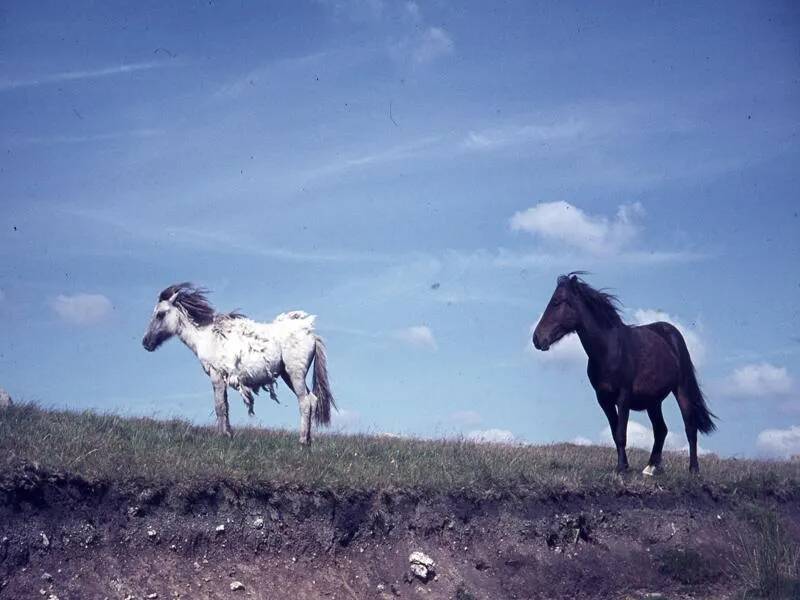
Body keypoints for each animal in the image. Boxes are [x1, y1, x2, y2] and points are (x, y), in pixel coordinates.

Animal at [141, 284, 334, 442]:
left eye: (160, 314)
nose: (146, 343)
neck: (206, 336)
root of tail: (311, 334)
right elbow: (225, 406)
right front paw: (228, 433)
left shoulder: (216, 376)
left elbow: (220, 406)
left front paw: (223, 435)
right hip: (288, 376)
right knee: (312, 400)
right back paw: (308, 441)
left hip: (295, 375)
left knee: (305, 402)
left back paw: (302, 441)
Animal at [536, 272, 716, 474]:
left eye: (556, 302)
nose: (537, 338)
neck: (609, 349)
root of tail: (671, 333)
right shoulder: (604, 399)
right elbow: (615, 433)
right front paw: (624, 465)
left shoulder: (623, 396)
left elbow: (622, 433)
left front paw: (622, 468)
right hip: (653, 402)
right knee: (661, 430)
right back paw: (651, 468)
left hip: (681, 390)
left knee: (690, 428)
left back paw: (693, 469)